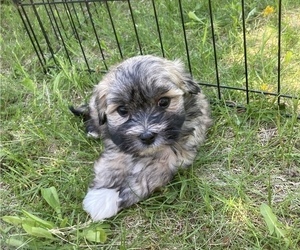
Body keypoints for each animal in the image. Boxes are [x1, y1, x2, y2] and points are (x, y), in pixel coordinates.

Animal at [70, 54, 211, 221]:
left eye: (164, 102)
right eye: (122, 110)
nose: (147, 136)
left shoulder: (174, 156)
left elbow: (147, 175)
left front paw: (108, 198)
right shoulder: (118, 145)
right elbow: (111, 164)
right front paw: (103, 193)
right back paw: (93, 129)